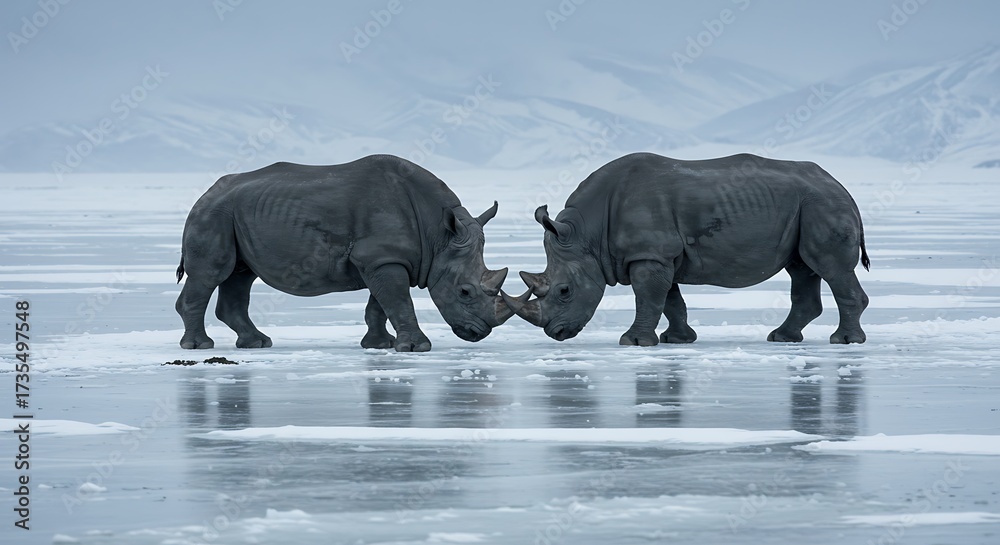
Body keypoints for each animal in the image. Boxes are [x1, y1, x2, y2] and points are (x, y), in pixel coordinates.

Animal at [175, 155, 512, 352]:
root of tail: (205, 193)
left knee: (240, 275)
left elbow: (381, 304)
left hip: (234, 214)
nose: (479, 333)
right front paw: (418, 348)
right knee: (213, 273)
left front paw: (379, 346)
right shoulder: (382, 258)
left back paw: (257, 344)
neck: (439, 235)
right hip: (213, 214)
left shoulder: (383, 258)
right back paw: (200, 347)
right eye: (465, 291)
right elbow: (399, 301)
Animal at [503, 152, 870, 345]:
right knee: (802, 268)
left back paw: (843, 341)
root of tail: (842, 186)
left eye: (564, 290)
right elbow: (669, 300)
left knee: (830, 268)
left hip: (822, 205)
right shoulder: (658, 254)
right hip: (809, 207)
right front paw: (677, 340)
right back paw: (782, 338)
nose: (556, 333)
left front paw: (632, 342)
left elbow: (648, 298)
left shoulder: (650, 254)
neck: (587, 235)